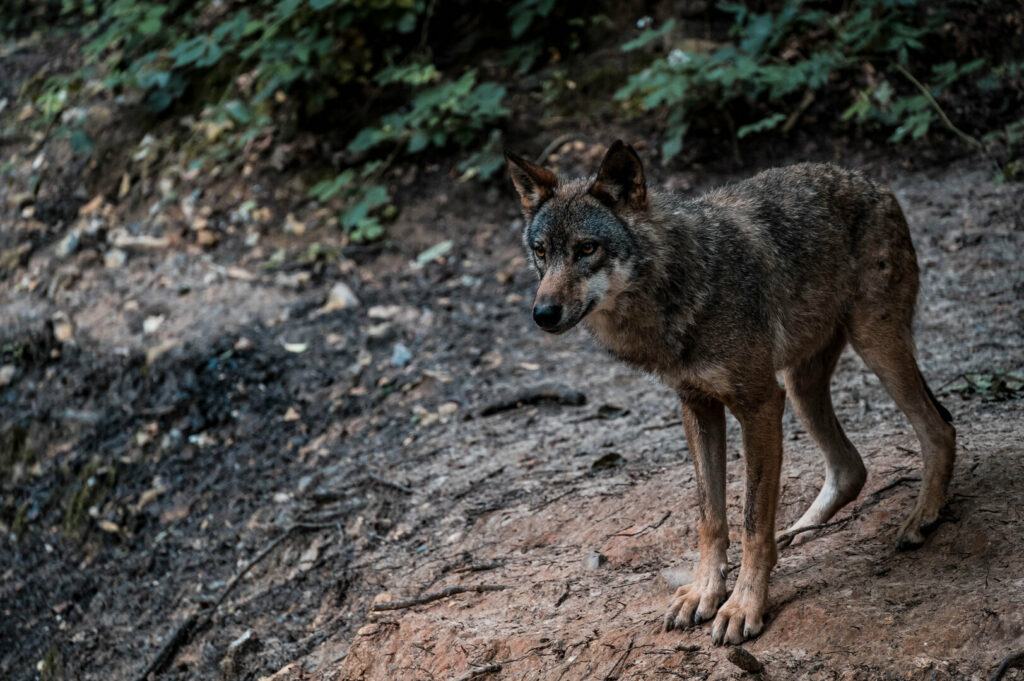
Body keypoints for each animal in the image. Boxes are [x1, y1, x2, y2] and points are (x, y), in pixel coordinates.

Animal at [503, 139, 950, 643]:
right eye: (541, 252)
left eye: (587, 249)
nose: (543, 313)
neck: (677, 287)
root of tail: (874, 184)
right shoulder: (697, 406)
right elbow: (711, 517)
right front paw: (704, 593)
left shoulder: (759, 404)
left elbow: (752, 522)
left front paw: (743, 606)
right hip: (801, 385)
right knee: (850, 467)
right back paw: (799, 531)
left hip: (872, 347)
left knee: (938, 428)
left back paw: (921, 519)